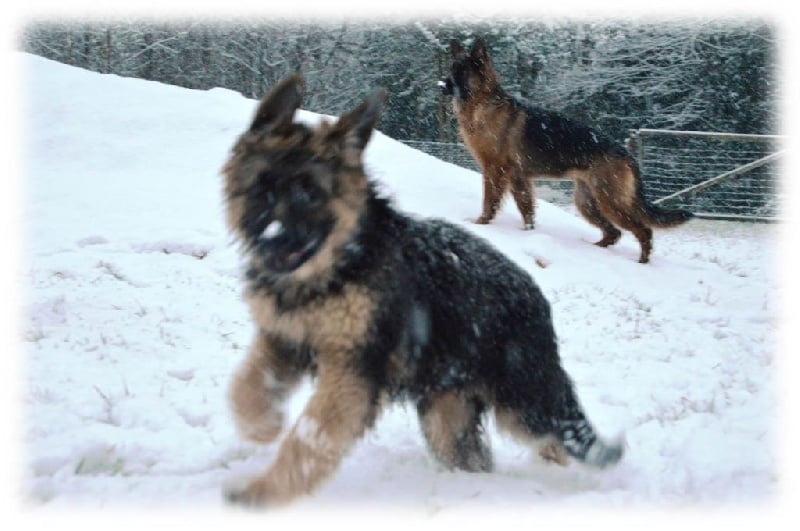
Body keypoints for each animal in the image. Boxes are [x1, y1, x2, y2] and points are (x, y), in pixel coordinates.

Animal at [220, 74, 624, 508]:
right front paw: (263, 426)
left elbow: (310, 438)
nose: (272, 243)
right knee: (472, 453)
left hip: (522, 394)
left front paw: (263, 492)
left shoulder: (353, 372)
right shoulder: (284, 338)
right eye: (261, 188)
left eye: (310, 193)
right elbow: (247, 384)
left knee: (556, 433)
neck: (344, 261)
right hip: (447, 407)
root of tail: (535, 296)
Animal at [440, 38, 692, 264]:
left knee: (643, 230)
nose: (441, 86)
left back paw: (641, 262)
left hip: (610, 202)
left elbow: (489, 201)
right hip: (587, 203)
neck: (483, 104)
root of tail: (627, 155)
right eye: (452, 69)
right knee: (614, 233)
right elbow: (526, 209)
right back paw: (595, 249)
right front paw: (528, 232)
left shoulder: (495, 171)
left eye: (462, 71)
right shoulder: (519, 179)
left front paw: (481, 223)